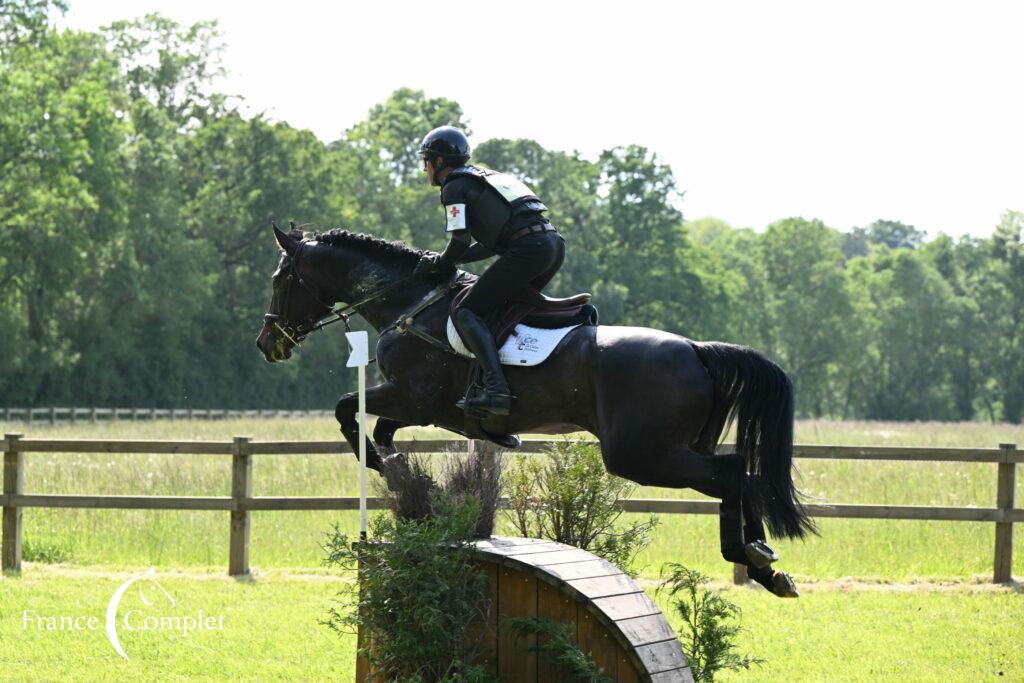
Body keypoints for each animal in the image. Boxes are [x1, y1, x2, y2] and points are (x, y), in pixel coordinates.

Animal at [251, 225, 811, 598]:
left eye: (280, 279)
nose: (266, 344)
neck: (409, 304)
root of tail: (696, 349)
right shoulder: (427, 408)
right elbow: (384, 431)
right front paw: (402, 475)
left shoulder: (414, 395)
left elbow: (348, 410)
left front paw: (375, 463)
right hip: (672, 447)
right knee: (741, 473)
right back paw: (765, 562)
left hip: (641, 455)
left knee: (732, 474)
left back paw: (751, 558)